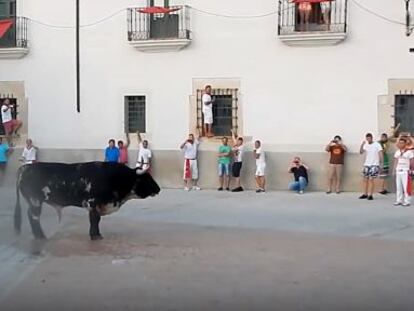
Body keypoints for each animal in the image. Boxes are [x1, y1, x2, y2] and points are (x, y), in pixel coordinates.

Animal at [14, 163, 161, 241]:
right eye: (147, 178)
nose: (159, 189)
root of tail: (25, 167)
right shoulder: (92, 203)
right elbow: (95, 219)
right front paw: (95, 236)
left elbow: (95, 220)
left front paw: (95, 234)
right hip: (35, 201)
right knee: (33, 217)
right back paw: (41, 236)